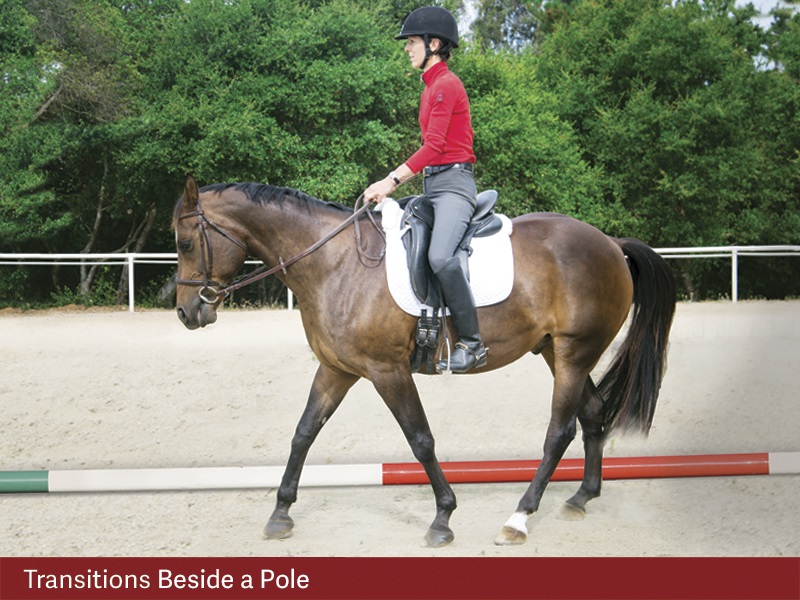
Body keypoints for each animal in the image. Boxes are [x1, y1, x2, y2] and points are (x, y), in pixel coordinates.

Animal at [172, 175, 676, 547]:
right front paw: (280, 512)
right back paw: (581, 497)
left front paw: (443, 518)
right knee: (592, 413)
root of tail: (609, 243)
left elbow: (420, 440)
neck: (334, 263)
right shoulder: (337, 370)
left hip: (574, 351)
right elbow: (303, 434)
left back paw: (518, 518)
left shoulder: (387, 371)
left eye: (185, 243)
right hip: (557, 350)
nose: (186, 312)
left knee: (560, 430)